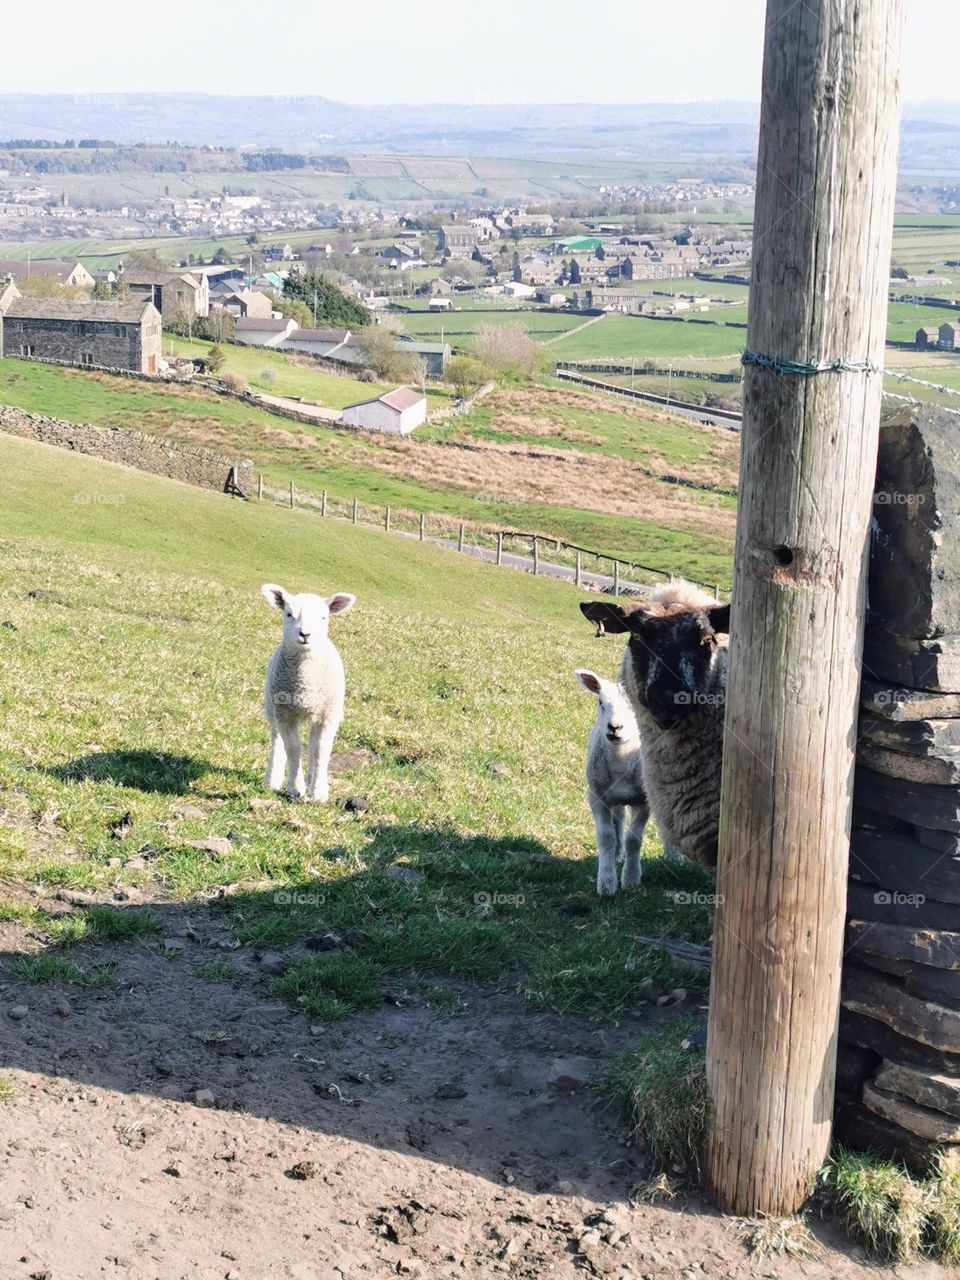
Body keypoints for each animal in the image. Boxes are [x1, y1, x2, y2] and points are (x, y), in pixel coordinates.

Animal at [260, 583, 356, 802]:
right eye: (288, 614)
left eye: (323, 617)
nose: (305, 635)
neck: (305, 686)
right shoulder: (284, 712)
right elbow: (293, 749)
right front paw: (296, 789)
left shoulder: (329, 715)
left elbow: (320, 750)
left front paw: (319, 792)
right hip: (272, 707)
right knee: (277, 740)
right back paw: (273, 779)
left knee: (313, 744)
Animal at [575, 667, 650, 895]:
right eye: (601, 702)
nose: (614, 727)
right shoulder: (596, 796)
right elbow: (606, 837)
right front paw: (607, 882)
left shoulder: (645, 801)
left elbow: (634, 839)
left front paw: (631, 879)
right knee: (618, 819)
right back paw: (617, 854)